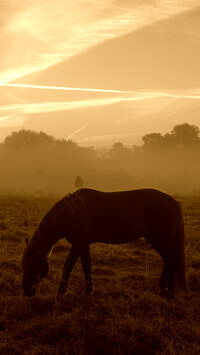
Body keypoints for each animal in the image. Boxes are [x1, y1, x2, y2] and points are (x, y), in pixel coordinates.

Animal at [21, 188, 187, 298]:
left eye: (30, 265)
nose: (26, 291)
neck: (72, 214)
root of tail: (173, 202)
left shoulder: (78, 243)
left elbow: (68, 266)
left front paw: (61, 293)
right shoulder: (83, 243)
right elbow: (86, 266)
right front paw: (88, 291)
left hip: (160, 239)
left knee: (171, 261)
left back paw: (170, 293)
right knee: (168, 261)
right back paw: (162, 288)